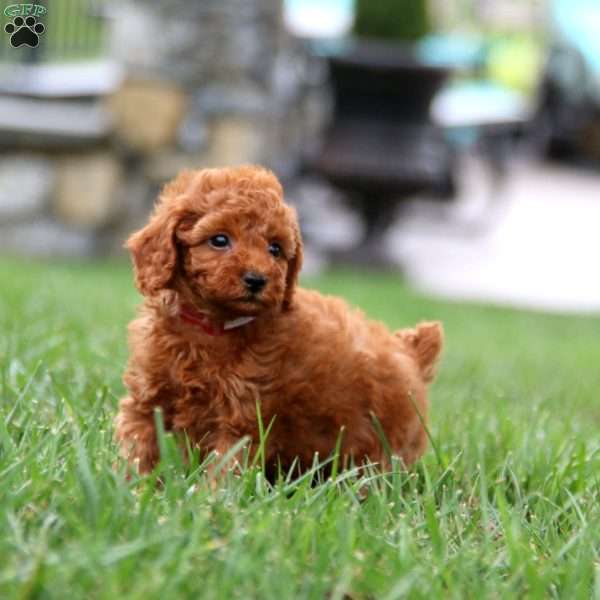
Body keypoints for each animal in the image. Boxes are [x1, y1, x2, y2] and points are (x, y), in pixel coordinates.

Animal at [115, 164, 442, 478]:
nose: (257, 279)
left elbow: (224, 471)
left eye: (275, 248)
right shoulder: (146, 397)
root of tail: (411, 353)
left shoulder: (241, 418)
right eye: (219, 240)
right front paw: (129, 484)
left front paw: (211, 498)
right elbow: (136, 445)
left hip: (383, 445)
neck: (209, 327)